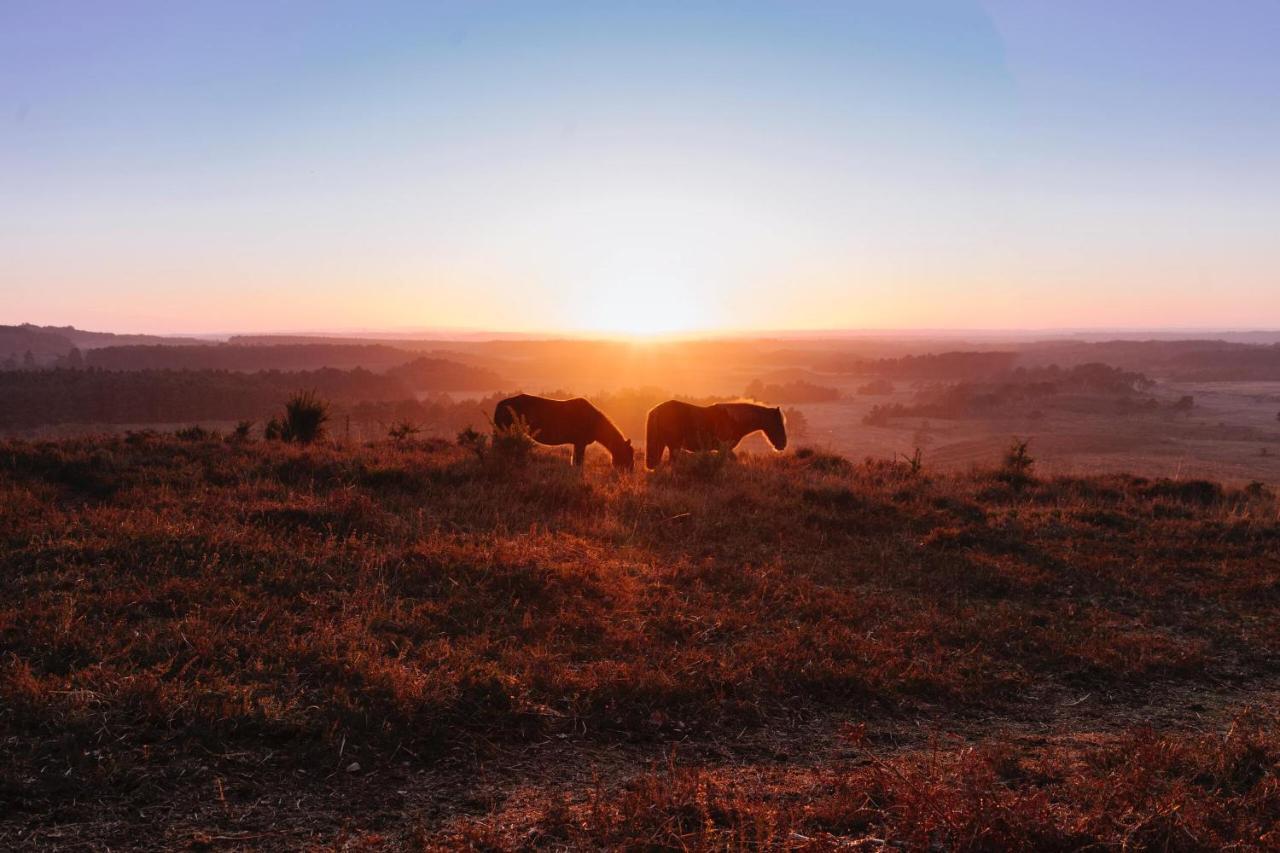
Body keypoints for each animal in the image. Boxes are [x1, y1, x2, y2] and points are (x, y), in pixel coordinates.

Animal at [491, 389, 632, 466]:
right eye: (628, 455)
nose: (629, 473)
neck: (594, 422)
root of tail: (500, 404)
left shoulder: (578, 444)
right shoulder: (580, 443)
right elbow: (578, 463)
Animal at [645, 397, 783, 466]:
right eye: (778, 424)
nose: (782, 444)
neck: (734, 420)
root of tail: (656, 410)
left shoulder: (725, 449)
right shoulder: (724, 447)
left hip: (663, 444)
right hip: (673, 446)